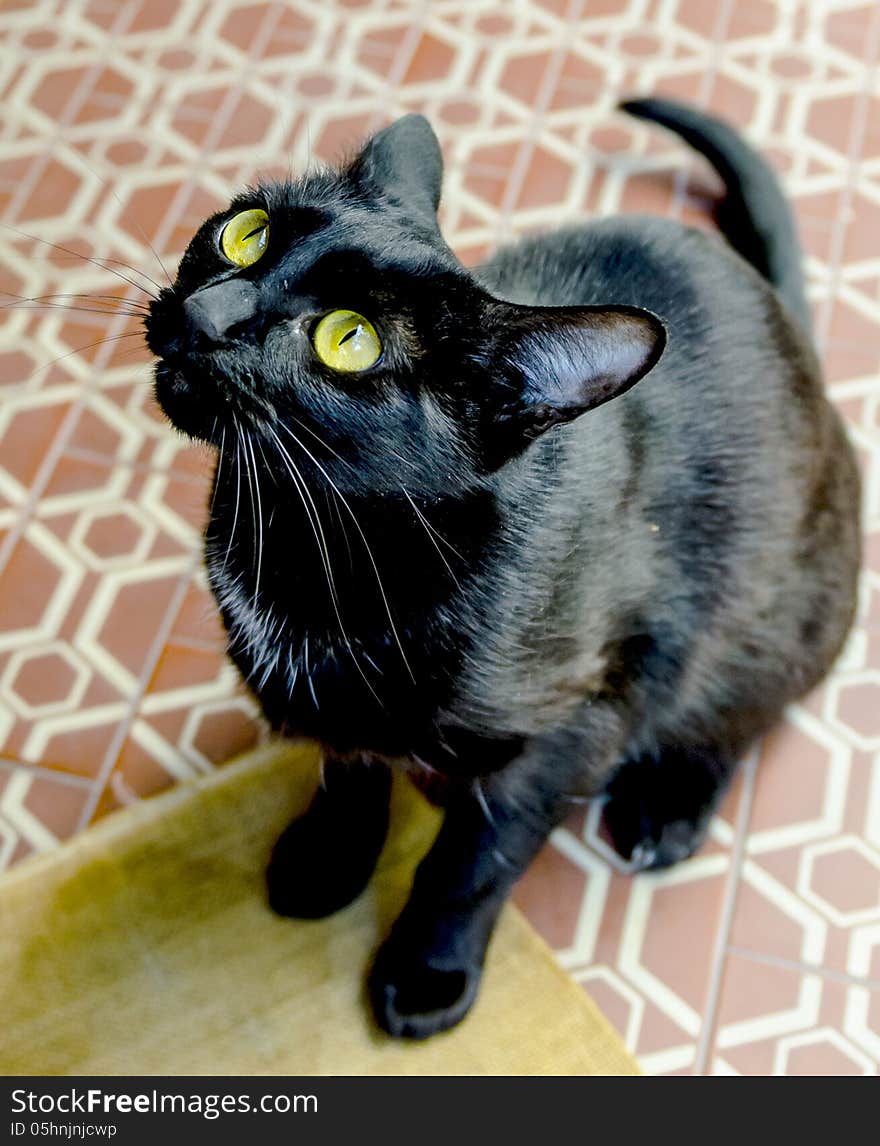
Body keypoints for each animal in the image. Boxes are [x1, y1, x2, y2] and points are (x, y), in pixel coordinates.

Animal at [144, 100, 861, 1040]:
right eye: (246, 232)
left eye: (349, 341)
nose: (205, 313)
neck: (313, 538)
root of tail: (786, 321)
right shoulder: (335, 705)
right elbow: (348, 769)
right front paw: (330, 857)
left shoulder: (573, 728)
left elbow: (471, 865)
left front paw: (428, 973)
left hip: (779, 613)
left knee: (747, 711)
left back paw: (667, 805)